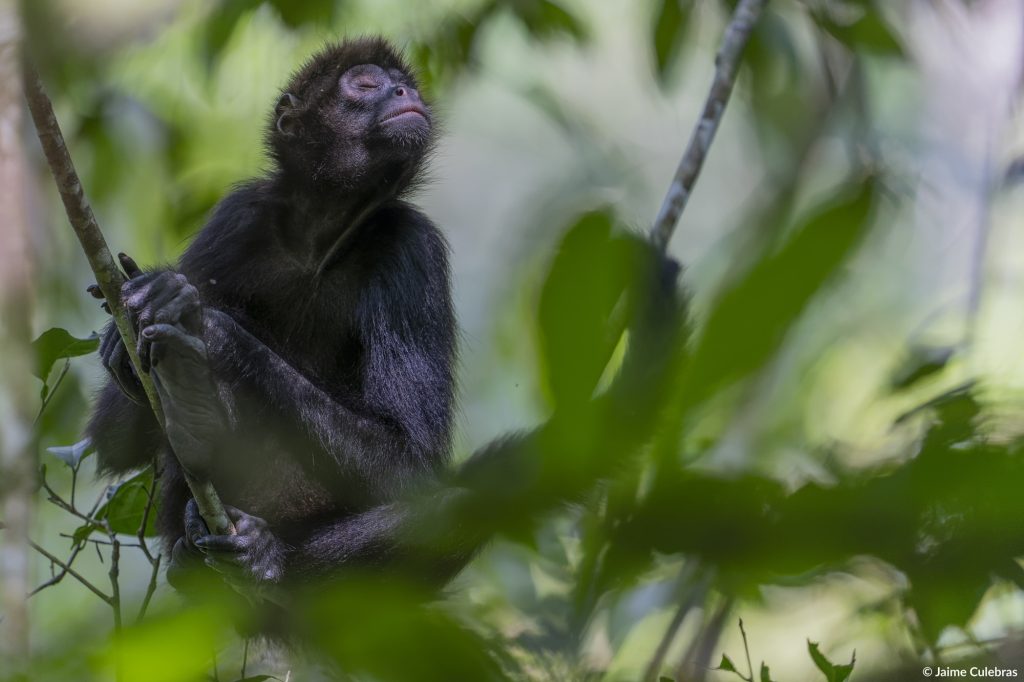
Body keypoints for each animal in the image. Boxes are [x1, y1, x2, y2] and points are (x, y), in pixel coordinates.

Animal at [85, 37, 686, 610]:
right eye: (366, 83)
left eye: (404, 85)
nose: (404, 94)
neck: (321, 240)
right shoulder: (238, 216)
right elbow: (113, 444)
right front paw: (137, 326)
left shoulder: (412, 244)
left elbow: (409, 465)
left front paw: (209, 327)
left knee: (460, 502)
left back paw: (261, 551)